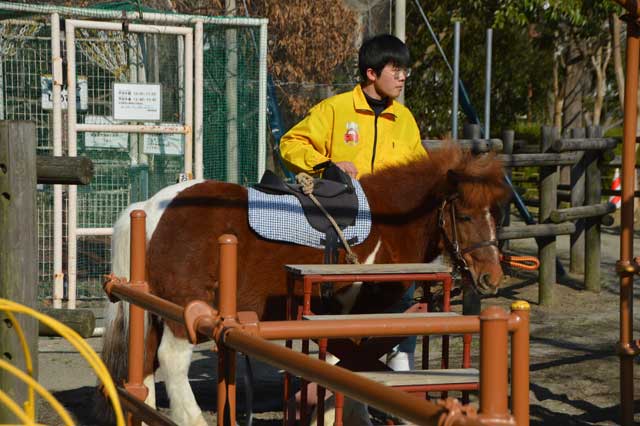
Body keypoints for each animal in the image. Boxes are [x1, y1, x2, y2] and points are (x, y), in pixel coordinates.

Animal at [100, 145, 508, 424]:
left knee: (145, 363)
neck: (388, 225)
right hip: (182, 313)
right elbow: (344, 372)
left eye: (496, 214)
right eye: (465, 215)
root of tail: (151, 208)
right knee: (171, 361)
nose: (492, 277)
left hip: (152, 311)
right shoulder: (351, 316)